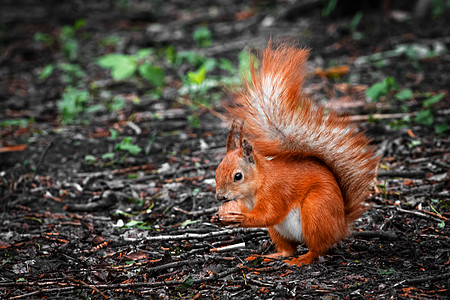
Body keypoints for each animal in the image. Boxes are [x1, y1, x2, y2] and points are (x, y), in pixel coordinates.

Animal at [212, 44, 380, 264]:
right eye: (216, 172)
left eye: (237, 176)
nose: (220, 197)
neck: (257, 185)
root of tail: (341, 226)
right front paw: (218, 217)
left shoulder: (275, 192)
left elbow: (269, 214)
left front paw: (241, 218)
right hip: (277, 231)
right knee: (288, 249)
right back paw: (272, 256)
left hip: (315, 211)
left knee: (319, 247)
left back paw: (303, 259)